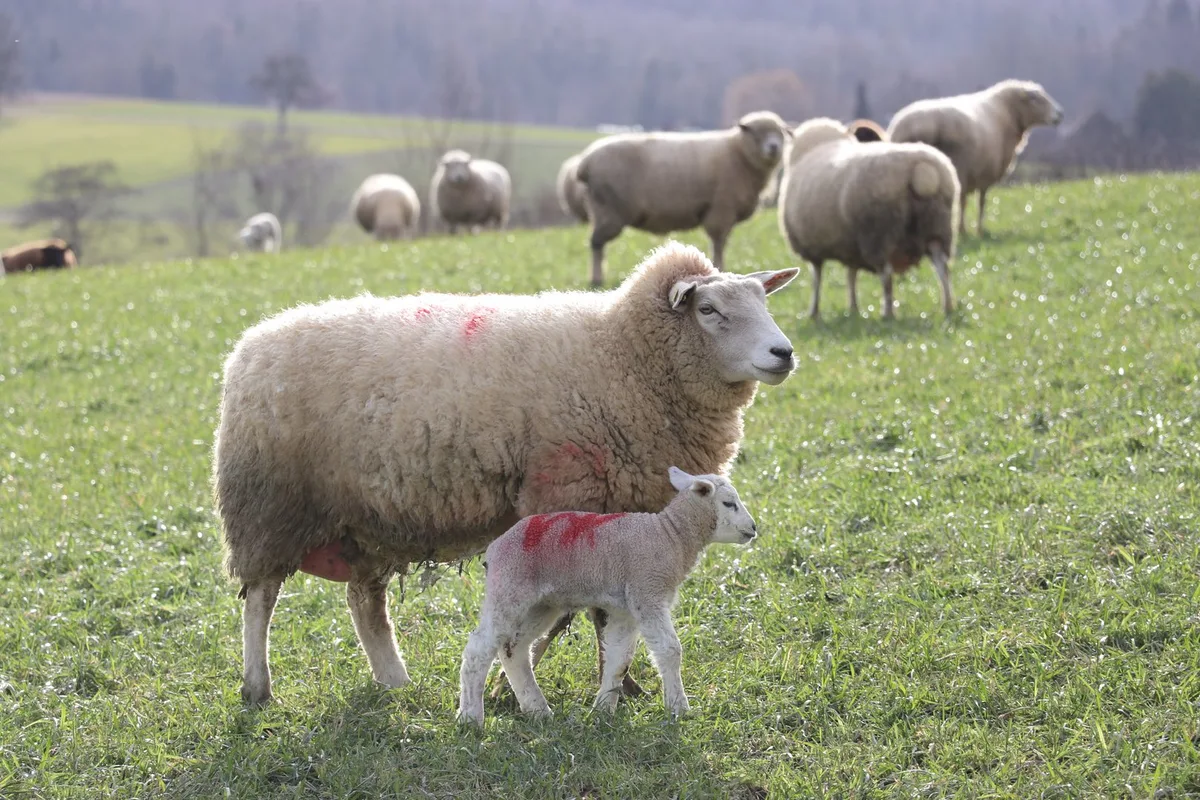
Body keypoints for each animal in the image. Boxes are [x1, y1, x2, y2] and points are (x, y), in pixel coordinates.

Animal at [458, 466, 757, 726]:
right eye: (729, 503)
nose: (753, 528)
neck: (670, 535)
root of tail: (494, 548)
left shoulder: (626, 609)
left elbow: (618, 659)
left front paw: (603, 710)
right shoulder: (648, 593)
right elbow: (670, 650)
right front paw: (679, 708)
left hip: (542, 604)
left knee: (514, 649)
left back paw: (538, 710)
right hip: (509, 588)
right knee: (479, 648)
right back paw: (470, 718)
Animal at [575, 111, 791, 286]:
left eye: (780, 132)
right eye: (755, 132)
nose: (773, 147)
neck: (738, 153)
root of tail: (585, 163)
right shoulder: (721, 209)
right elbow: (719, 243)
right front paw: (719, 268)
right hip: (610, 210)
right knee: (596, 243)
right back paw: (596, 279)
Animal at [778, 117, 960, 320]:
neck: (818, 145)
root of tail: (921, 171)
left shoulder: (813, 248)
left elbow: (817, 279)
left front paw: (814, 312)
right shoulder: (850, 244)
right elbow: (851, 274)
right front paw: (853, 307)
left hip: (878, 232)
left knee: (887, 276)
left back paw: (888, 313)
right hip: (937, 227)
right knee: (943, 267)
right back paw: (948, 306)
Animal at [886, 79, 1064, 236]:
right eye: (1035, 99)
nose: (1060, 114)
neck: (1007, 113)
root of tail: (917, 127)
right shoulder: (984, 174)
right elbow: (980, 203)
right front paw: (977, 230)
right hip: (956, 168)